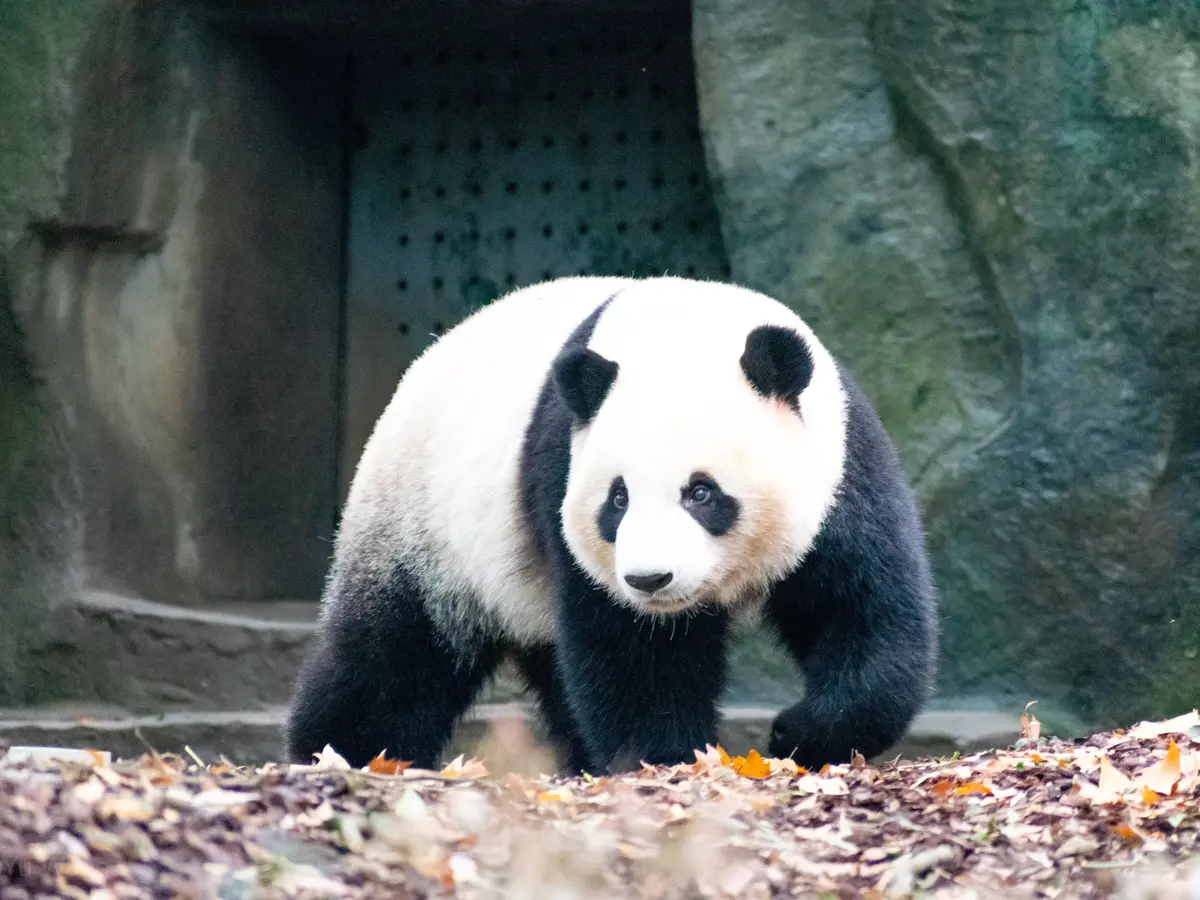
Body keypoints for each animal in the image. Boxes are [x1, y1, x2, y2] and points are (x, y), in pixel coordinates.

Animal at [284, 275, 938, 775]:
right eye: (617, 500)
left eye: (702, 493)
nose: (651, 579)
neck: (682, 331)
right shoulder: (562, 475)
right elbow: (631, 651)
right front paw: (669, 758)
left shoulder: (842, 471)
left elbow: (864, 610)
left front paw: (799, 733)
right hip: (425, 525)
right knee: (395, 654)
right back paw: (342, 751)